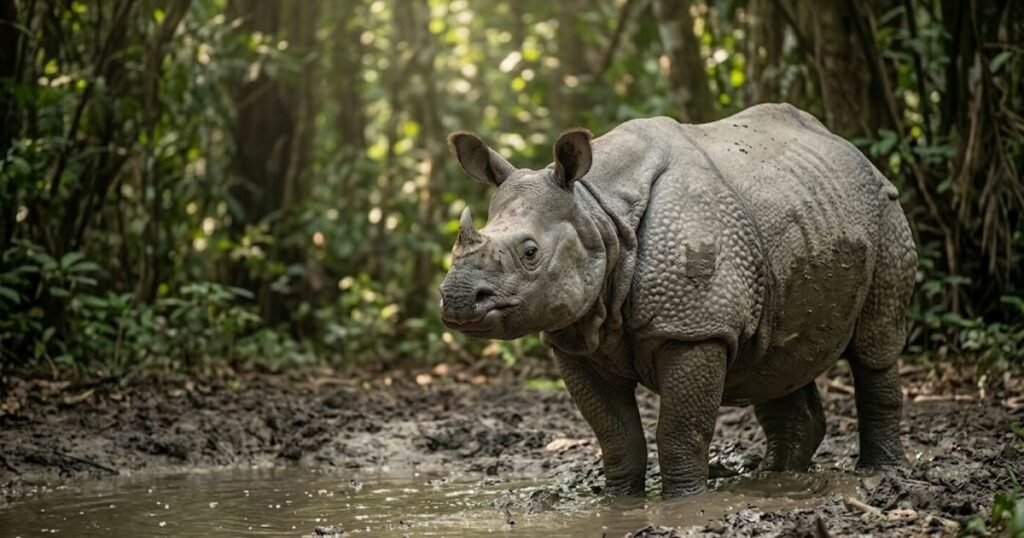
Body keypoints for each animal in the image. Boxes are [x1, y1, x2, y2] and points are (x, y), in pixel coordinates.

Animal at [438, 103, 917, 498]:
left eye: (530, 252)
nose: (457, 298)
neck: (597, 211)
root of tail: (854, 151)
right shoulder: (575, 339)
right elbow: (616, 435)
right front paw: (618, 502)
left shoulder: (696, 328)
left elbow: (680, 430)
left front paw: (684, 501)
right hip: (802, 211)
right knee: (775, 359)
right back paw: (774, 479)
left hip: (886, 212)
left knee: (875, 346)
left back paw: (879, 474)